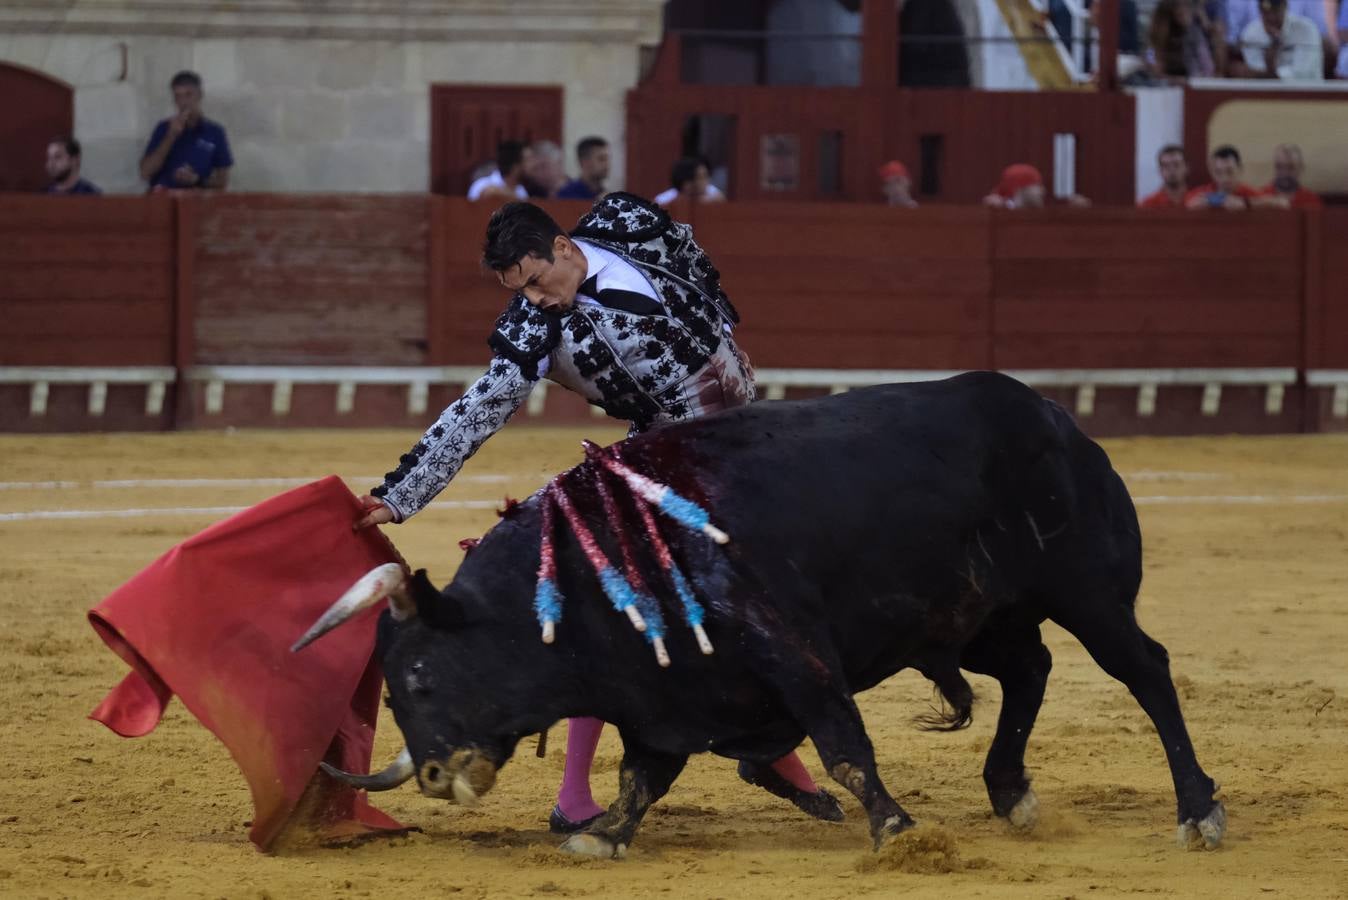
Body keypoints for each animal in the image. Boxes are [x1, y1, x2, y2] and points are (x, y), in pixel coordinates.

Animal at [300, 371, 1229, 856]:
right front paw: (602, 833)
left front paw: (895, 830)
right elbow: (643, 772)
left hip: (1087, 591)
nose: (430, 774)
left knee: (1144, 670)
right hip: (971, 619)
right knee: (1031, 669)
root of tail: (1051, 414)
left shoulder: (793, 650)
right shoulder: (664, 693)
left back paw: (1198, 810)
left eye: (419, 675)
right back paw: (1010, 791)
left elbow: (846, 746)